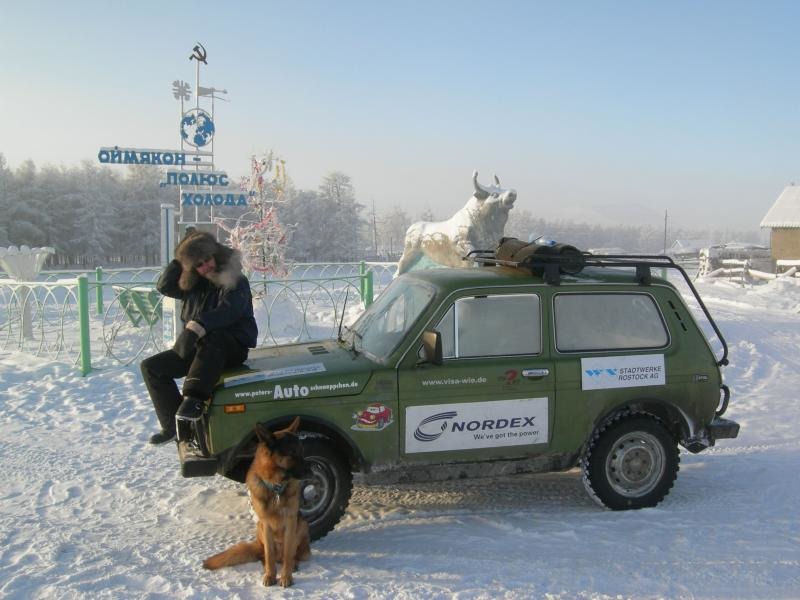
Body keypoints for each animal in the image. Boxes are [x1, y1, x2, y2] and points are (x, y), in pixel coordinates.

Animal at [202, 418, 310, 584]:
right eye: (292, 453)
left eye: (302, 451)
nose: (311, 470)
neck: (276, 487)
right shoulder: (266, 523)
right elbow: (269, 555)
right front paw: (270, 575)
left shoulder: (291, 521)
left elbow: (288, 554)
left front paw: (286, 576)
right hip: (260, 529)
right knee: (265, 556)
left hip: (302, 526)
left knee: (292, 554)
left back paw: (293, 564)